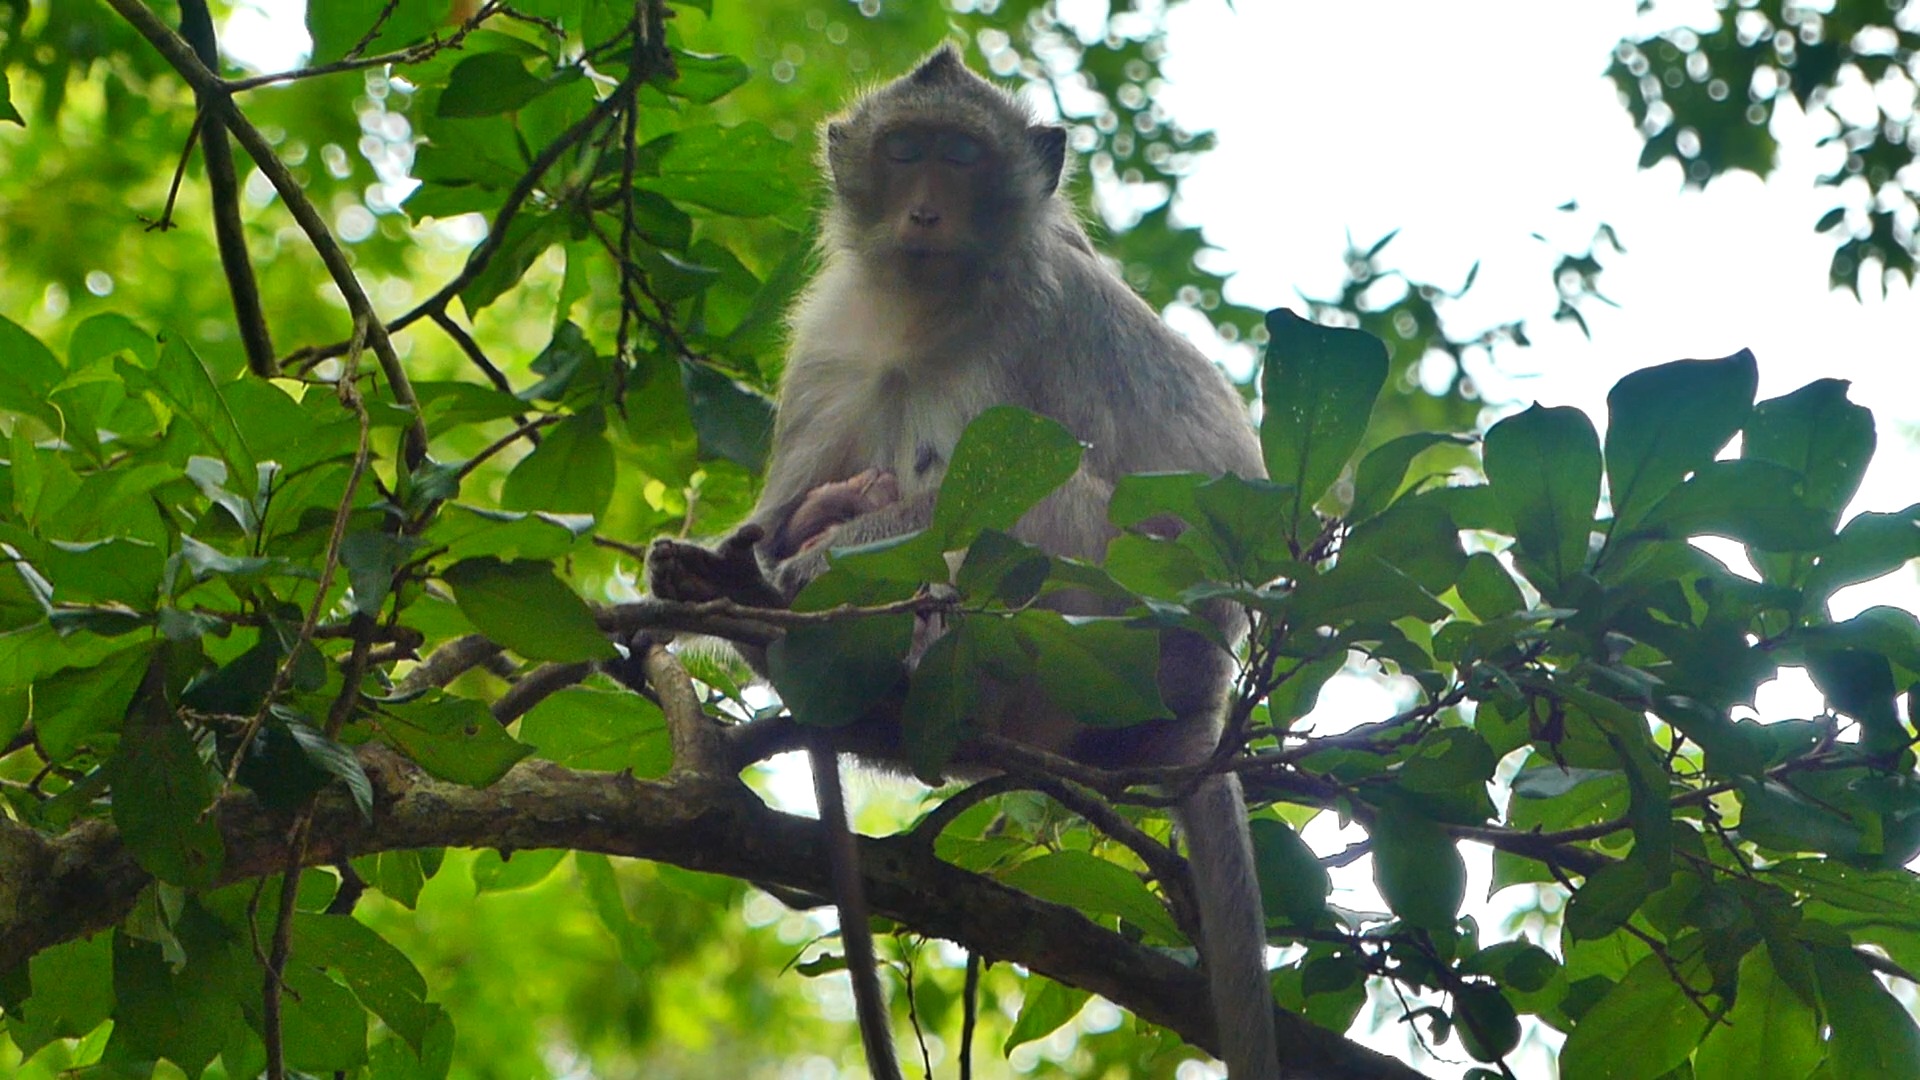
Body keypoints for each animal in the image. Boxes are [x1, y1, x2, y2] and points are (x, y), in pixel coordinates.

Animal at [647, 45, 1282, 1079]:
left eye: (962, 158)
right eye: (906, 152)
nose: (925, 211)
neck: (921, 308)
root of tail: (1203, 708)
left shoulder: (1044, 312)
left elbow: (1002, 489)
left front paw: (807, 565)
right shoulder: (831, 335)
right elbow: (786, 496)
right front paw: (718, 566)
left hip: (1126, 636)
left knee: (1055, 506)